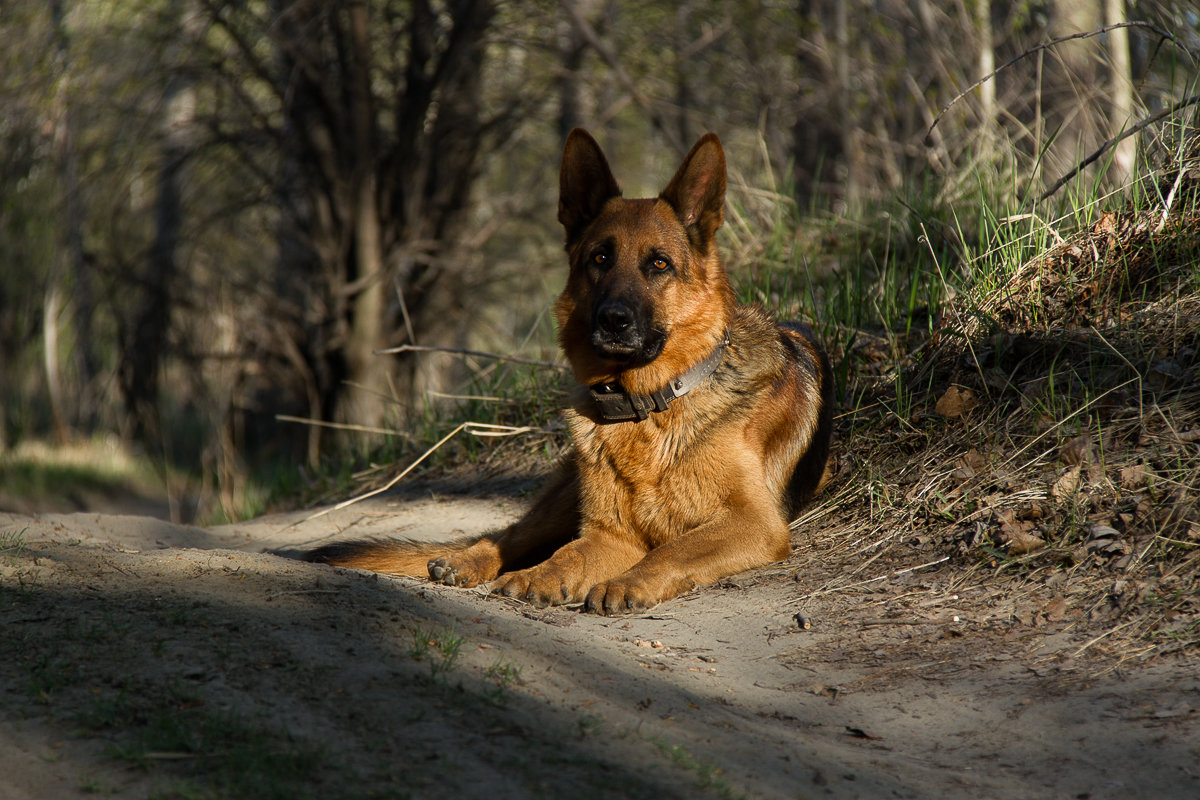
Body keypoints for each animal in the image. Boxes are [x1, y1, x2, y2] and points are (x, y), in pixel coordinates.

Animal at [307, 130, 835, 614]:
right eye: (600, 258)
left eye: (659, 264)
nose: (613, 320)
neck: (651, 405)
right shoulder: (609, 534)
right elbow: (569, 554)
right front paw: (540, 576)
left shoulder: (752, 523)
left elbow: (672, 549)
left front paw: (627, 582)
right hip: (562, 501)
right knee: (511, 536)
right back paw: (468, 561)